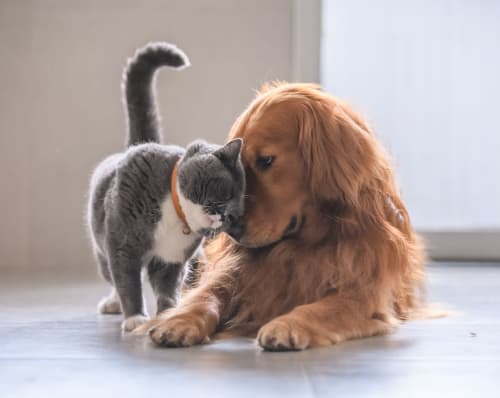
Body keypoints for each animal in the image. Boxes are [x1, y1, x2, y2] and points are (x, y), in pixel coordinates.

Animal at [86, 42, 246, 332]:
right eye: (226, 192)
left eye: (235, 215)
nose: (224, 216)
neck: (175, 214)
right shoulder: (123, 244)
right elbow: (127, 281)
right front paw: (135, 317)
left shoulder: (172, 259)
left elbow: (166, 287)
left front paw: (169, 313)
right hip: (101, 245)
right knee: (111, 276)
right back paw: (113, 304)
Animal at [140, 82, 426, 350]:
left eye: (266, 160)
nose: (230, 230)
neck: (303, 245)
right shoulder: (233, 272)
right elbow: (206, 295)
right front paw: (178, 321)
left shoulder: (365, 294)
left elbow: (323, 307)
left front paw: (287, 325)